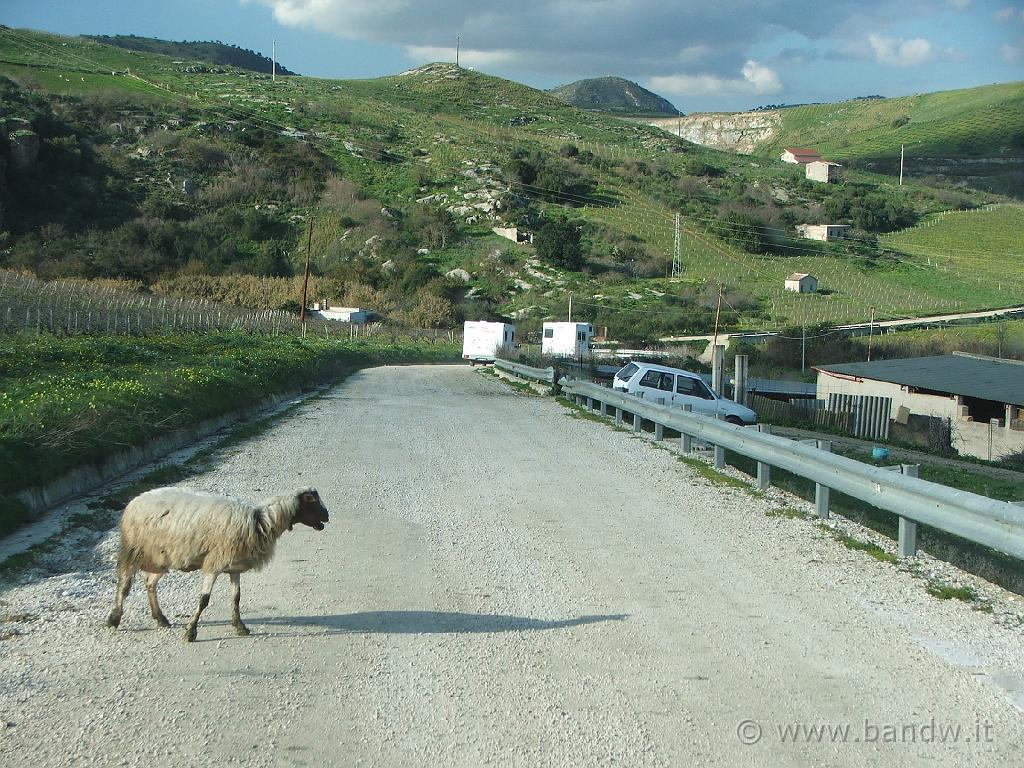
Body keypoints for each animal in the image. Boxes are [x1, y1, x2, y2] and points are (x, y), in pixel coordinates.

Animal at [104, 487, 327, 643]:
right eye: (312, 502)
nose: (327, 516)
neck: (260, 521)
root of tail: (135, 500)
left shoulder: (233, 566)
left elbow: (236, 597)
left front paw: (240, 626)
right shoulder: (214, 563)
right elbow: (204, 600)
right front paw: (190, 632)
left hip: (163, 556)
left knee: (150, 582)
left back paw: (160, 618)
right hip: (135, 549)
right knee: (124, 583)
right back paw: (114, 618)